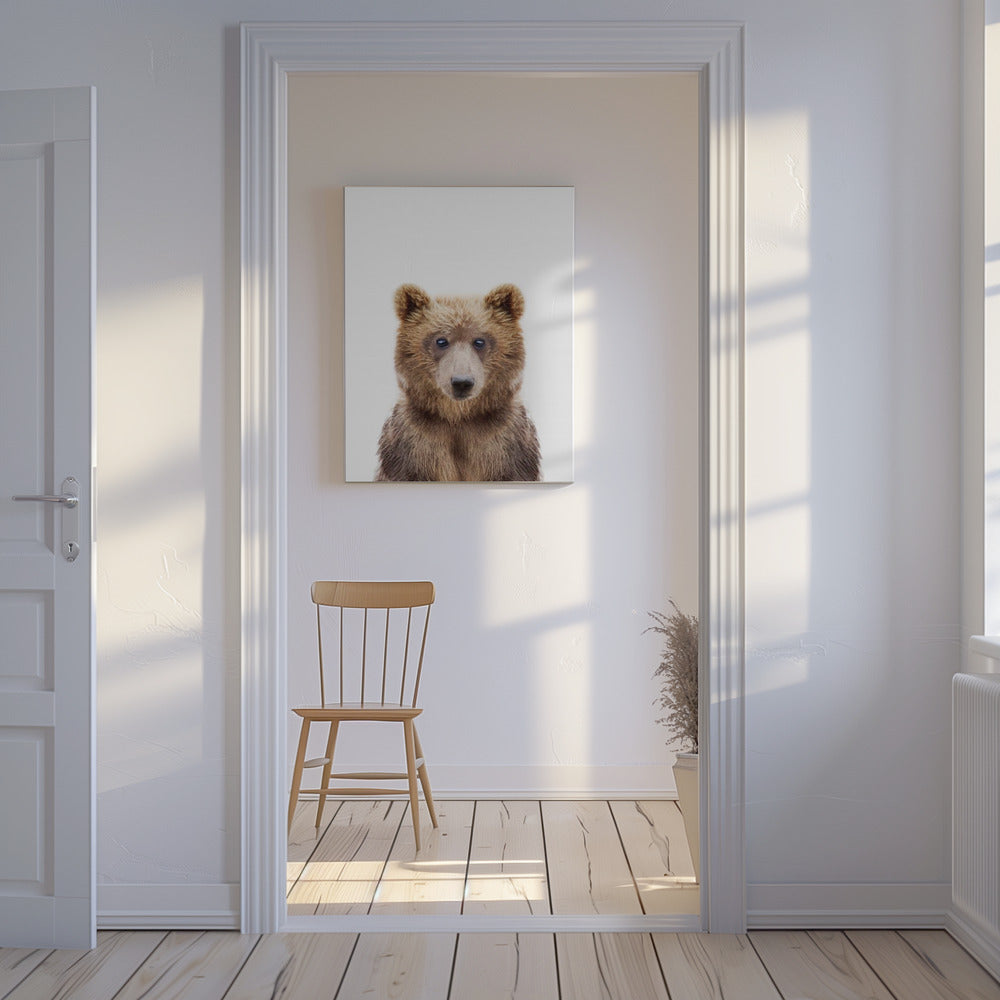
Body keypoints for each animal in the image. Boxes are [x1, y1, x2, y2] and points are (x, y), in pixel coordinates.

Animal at [374, 283, 542, 482]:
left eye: (479, 341)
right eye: (441, 340)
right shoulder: (413, 443)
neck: (458, 417)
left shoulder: (506, 442)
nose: (462, 382)